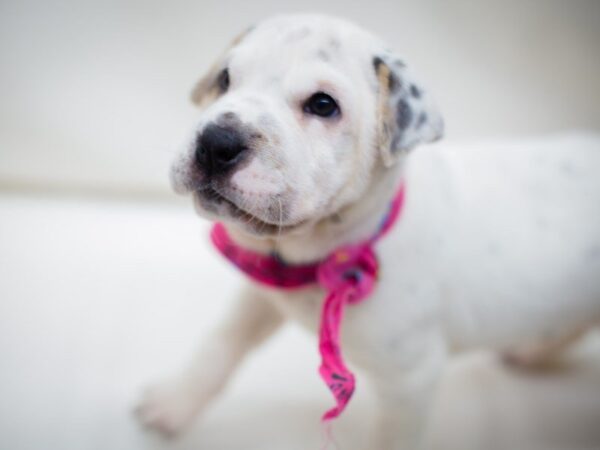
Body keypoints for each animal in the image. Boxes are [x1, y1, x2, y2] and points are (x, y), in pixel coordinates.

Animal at [135, 13, 600, 446]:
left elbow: (391, 439)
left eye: (323, 105)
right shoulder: (263, 289)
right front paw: (174, 402)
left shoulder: (410, 381)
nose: (216, 142)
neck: (324, 254)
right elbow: (221, 343)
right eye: (225, 79)